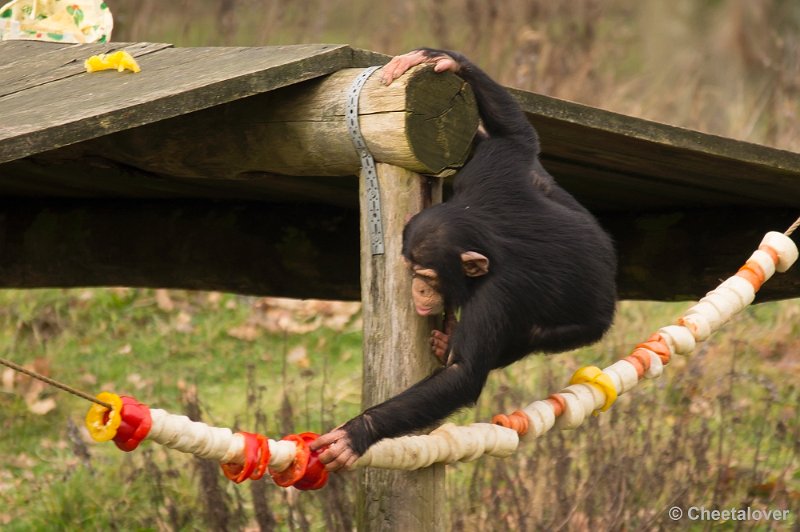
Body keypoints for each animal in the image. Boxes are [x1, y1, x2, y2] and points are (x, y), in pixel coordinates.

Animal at [310, 48, 616, 470]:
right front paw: (444, 59)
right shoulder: (496, 171)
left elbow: (463, 373)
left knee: (533, 334)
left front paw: (358, 431)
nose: (418, 289)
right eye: (412, 272)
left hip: (589, 325)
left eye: (427, 275)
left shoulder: (496, 296)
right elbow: (517, 138)